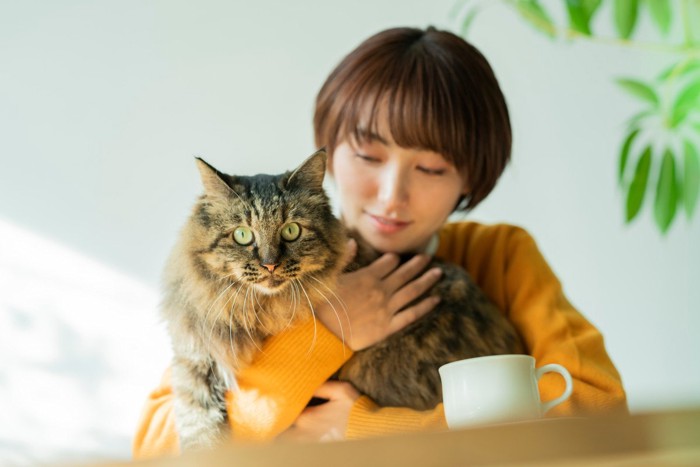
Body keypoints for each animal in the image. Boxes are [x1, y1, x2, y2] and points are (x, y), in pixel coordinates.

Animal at [164, 149, 524, 450]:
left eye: (291, 231)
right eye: (242, 235)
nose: (270, 264)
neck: (255, 312)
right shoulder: (194, 361)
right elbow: (196, 422)